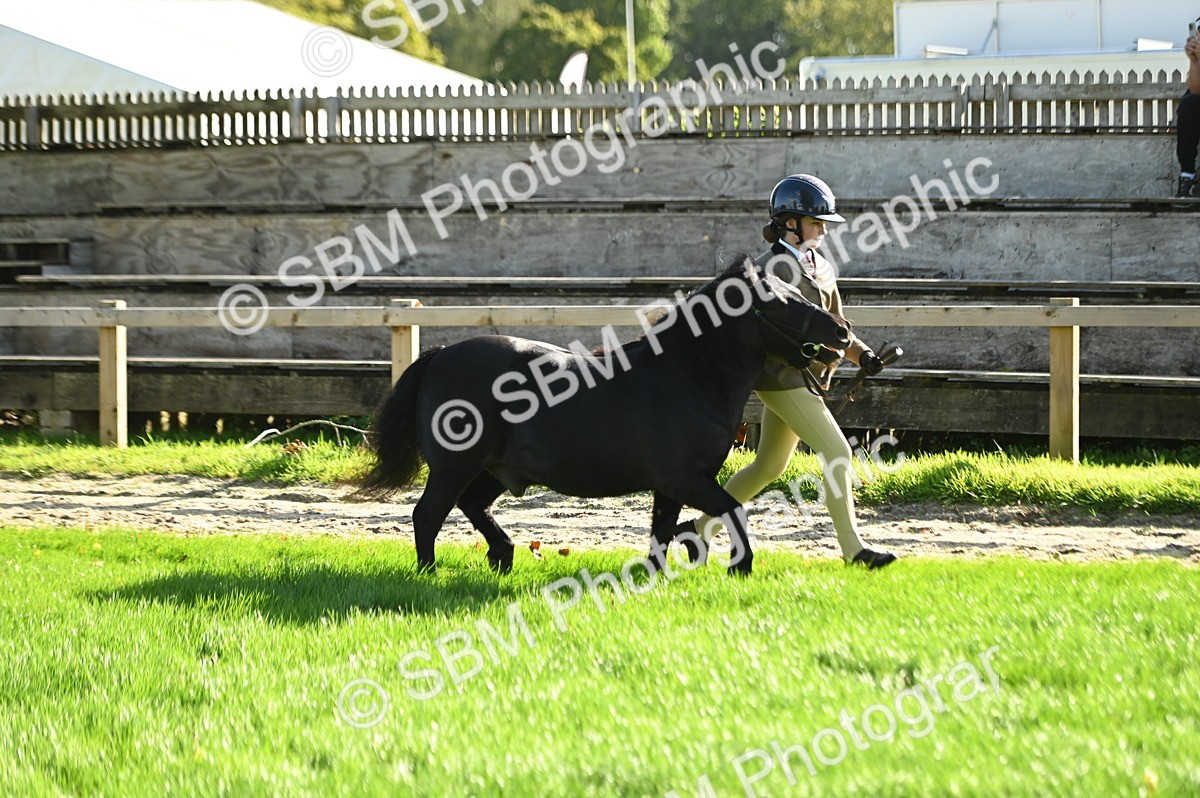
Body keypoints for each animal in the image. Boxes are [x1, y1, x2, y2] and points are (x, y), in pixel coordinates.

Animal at [354, 254, 852, 575]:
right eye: (779, 301)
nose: (842, 332)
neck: (688, 374)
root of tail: (440, 354)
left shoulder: (672, 486)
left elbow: (662, 531)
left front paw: (656, 576)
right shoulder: (686, 480)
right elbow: (733, 510)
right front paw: (741, 566)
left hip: (494, 470)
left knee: (471, 505)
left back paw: (504, 556)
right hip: (453, 467)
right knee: (428, 514)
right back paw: (430, 574)